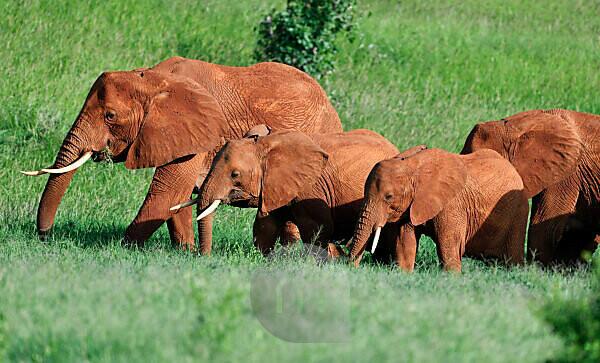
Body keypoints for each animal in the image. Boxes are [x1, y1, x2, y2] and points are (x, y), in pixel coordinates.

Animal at [22, 57, 342, 255]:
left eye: (110, 116)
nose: (45, 236)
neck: (153, 78)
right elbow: (177, 195)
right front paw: (185, 252)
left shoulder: (199, 130)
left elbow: (168, 190)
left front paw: (123, 249)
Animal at [173, 129, 398, 258]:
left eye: (235, 174)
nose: (203, 258)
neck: (265, 145)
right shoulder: (275, 185)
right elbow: (265, 225)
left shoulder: (310, 187)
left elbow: (317, 228)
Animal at [350, 146, 528, 272]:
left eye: (388, 197)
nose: (352, 267)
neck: (412, 167)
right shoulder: (411, 205)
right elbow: (404, 243)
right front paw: (404, 274)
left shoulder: (452, 205)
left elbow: (448, 247)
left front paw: (452, 279)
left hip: (519, 211)